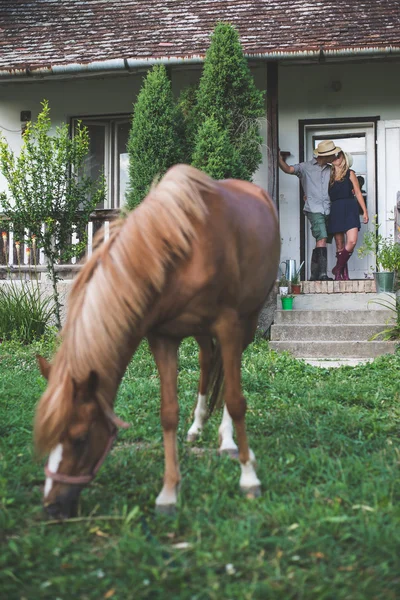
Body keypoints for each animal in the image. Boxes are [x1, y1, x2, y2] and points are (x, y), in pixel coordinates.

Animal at [34, 165, 280, 520]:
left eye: (79, 438)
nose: (52, 506)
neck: (182, 253)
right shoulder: (162, 338)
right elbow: (168, 413)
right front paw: (168, 492)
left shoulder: (229, 326)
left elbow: (236, 400)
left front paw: (249, 477)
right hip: (202, 331)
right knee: (208, 360)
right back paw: (197, 425)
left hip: (246, 322)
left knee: (228, 377)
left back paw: (228, 440)